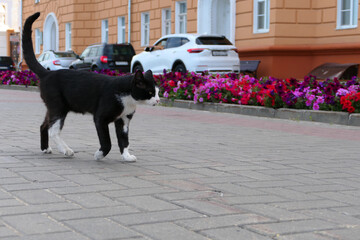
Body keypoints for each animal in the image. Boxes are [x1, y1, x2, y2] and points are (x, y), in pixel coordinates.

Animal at [21, 12, 159, 160]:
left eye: (158, 92)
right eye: (150, 92)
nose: (158, 100)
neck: (127, 98)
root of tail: (48, 73)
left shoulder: (123, 120)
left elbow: (124, 141)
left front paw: (127, 156)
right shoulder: (100, 118)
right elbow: (107, 141)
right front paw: (99, 155)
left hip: (54, 108)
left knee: (44, 126)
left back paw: (46, 148)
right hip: (58, 107)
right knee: (53, 130)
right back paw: (66, 150)